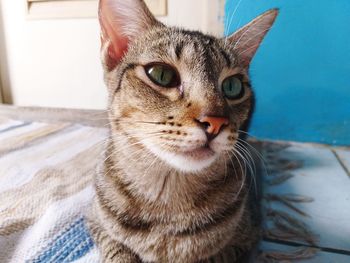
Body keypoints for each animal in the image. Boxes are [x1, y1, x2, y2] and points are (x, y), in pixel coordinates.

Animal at [87, 1, 278, 262]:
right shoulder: (95, 222)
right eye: (161, 75)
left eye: (233, 86)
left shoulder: (249, 239)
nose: (215, 122)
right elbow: (117, 251)